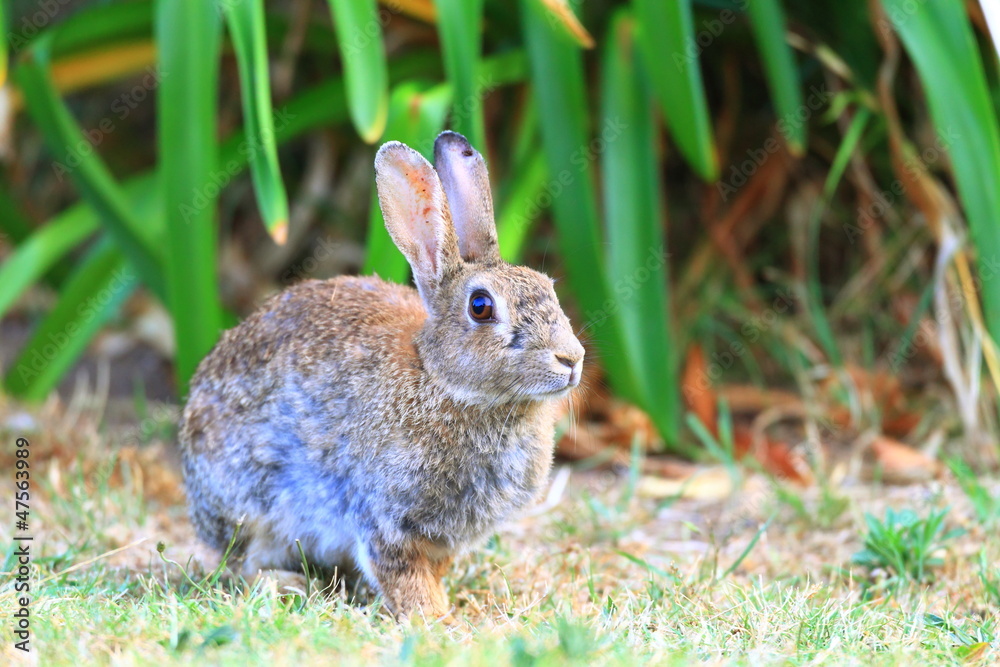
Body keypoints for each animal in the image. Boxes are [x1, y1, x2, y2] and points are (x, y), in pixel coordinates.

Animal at [179, 131, 585, 618]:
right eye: (481, 306)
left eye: (549, 288)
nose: (571, 358)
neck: (444, 382)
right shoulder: (385, 516)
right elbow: (401, 573)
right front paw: (436, 619)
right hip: (254, 502)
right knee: (241, 564)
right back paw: (288, 584)